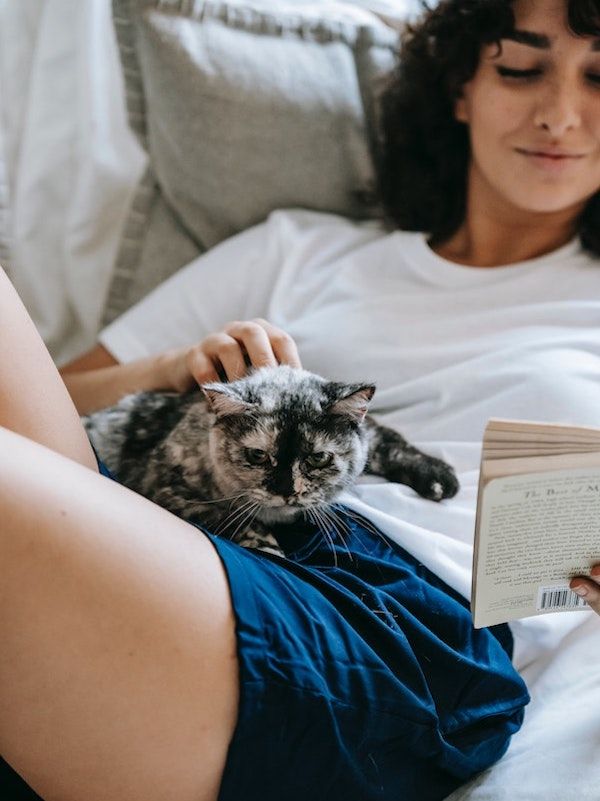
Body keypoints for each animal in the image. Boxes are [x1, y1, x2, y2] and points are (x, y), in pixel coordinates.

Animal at [84, 364, 460, 556]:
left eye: (318, 457)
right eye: (257, 455)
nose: (286, 491)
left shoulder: (368, 433)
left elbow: (387, 439)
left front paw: (440, 479)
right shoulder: (165, 486)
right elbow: (236, 517)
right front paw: (269, 551)